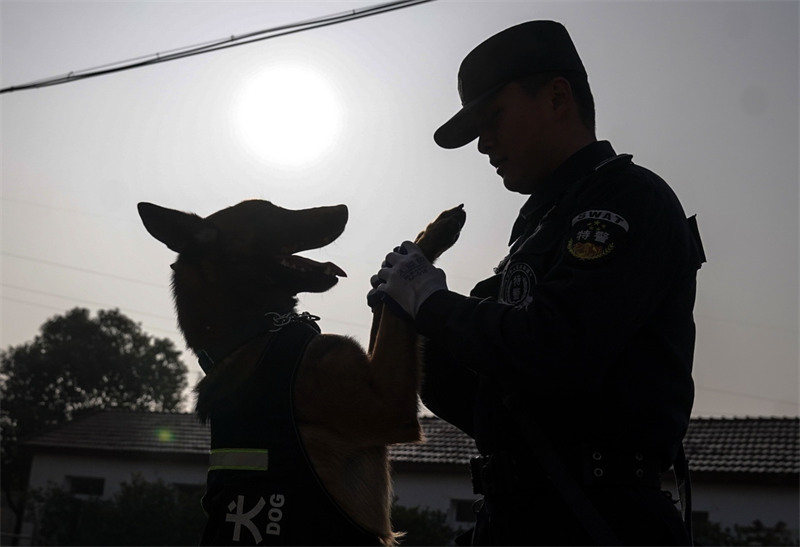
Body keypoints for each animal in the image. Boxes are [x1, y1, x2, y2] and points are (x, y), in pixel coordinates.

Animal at [136, 201, 462, 547]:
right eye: (268, 210)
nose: (343, 208)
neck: (253, 335)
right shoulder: (390, 407)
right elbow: (394, 310)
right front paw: (430, 242)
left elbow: (384, 306)